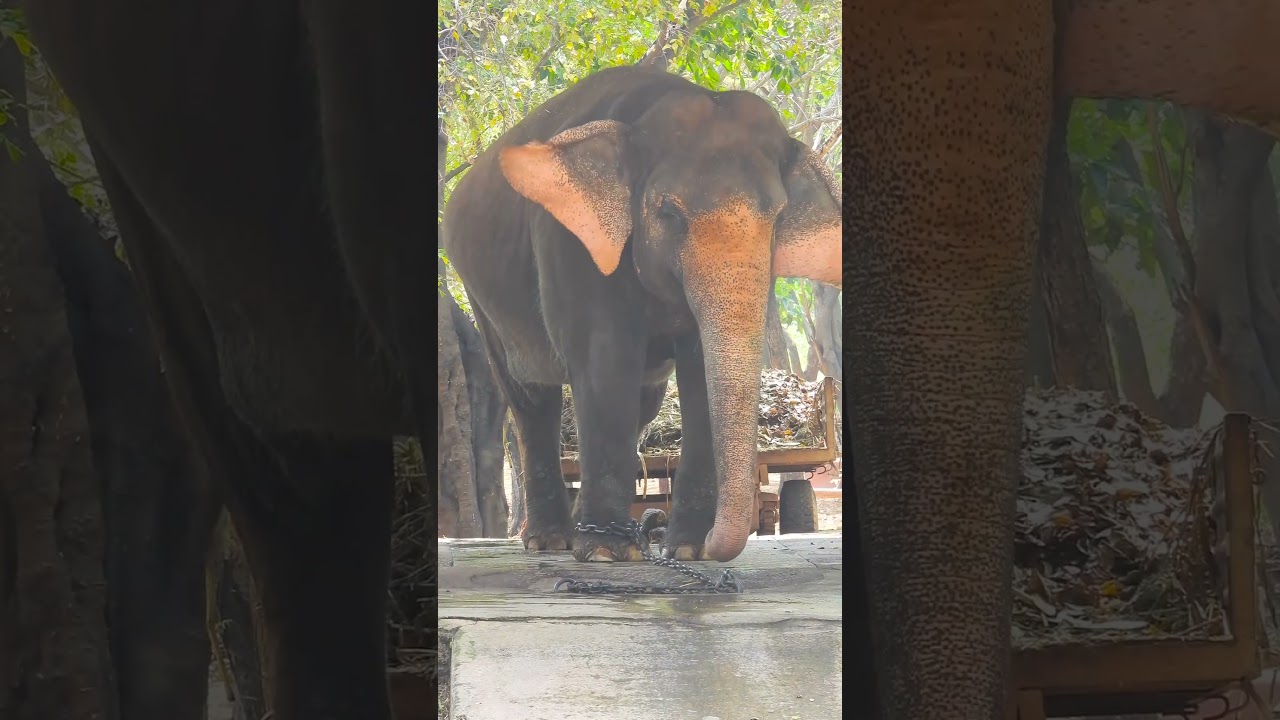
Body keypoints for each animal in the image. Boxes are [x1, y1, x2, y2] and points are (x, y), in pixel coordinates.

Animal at [442, 65, 841, 563]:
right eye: (668, 211)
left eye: (779, 215)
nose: (658, 526)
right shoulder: (570, 244)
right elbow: (605, 363)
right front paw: (604, 552)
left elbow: (697, 372)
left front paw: (687, 549)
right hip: (482, 297)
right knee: (530, 399)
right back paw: (551, 540)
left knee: (645, 399)